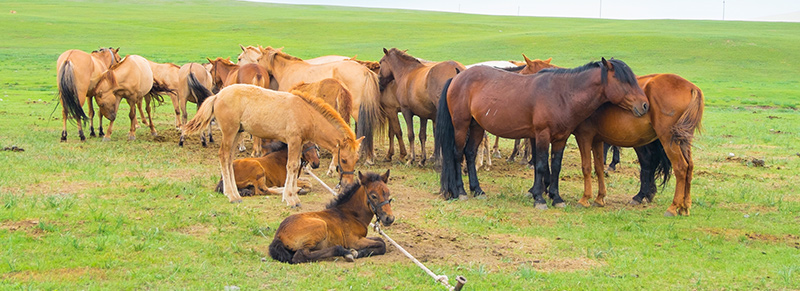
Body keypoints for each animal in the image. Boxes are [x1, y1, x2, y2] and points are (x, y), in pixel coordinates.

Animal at [183, 84, 360, 208]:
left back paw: (234, 194)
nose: (348, 184)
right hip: (229, 132)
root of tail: (217, 95)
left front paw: (292, 195)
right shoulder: (293, 140)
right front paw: (291, 199)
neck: (306, 113)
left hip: (237, 133)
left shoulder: (298, 143)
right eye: (344, 160)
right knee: (224, 157)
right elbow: (292, 166)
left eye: (356, 160)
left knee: (229, 159)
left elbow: (295, 168)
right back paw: (232, 196)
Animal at [438, 58, 648, 210]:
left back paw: (478, 190)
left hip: (477, 127)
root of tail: (457, 77)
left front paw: (556, 197)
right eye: (624, 81)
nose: (645, 105)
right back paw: (460, 191)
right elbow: (540, 166)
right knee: (457, 154)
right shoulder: (541, 136)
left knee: (470, 153)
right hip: (461, 125)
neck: (562, 94)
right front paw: (539, 198)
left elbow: (555, 166)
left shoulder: (561, 138)